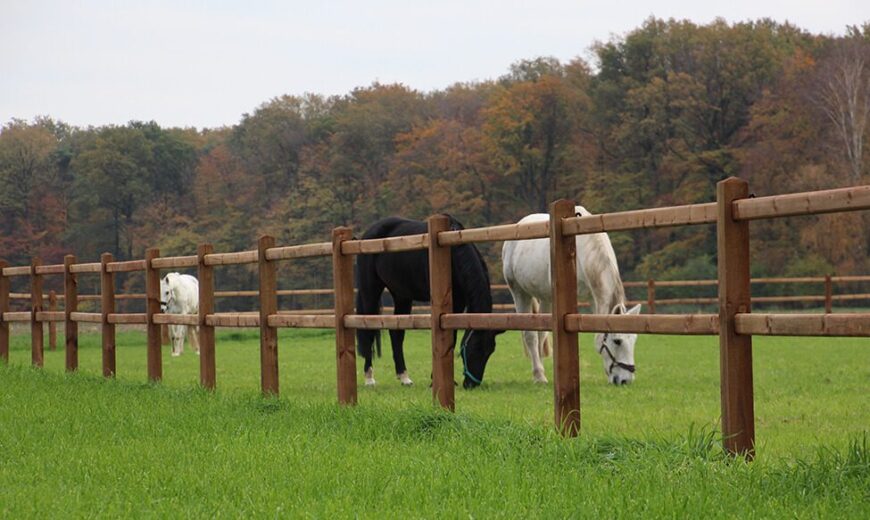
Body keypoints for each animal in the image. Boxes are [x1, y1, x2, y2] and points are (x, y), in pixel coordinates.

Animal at [356, 213, 504, 388]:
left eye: (489, 351)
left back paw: (404, 377)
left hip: (402, 295)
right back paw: (369, 378)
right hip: (370, 291)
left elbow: (452, 337)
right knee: (368, 329)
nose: (470, 384)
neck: (451, 254)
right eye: (474, 347)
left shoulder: (459, 302)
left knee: (396, 333)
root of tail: (367, 234)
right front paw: (436, 380)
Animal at [504, 205, 640, 384]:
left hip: (546, 298)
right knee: (530, 336)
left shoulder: (593, 297)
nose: (626, 380)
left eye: (634, 340)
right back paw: (538, 375)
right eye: (617, 341)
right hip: (519, 293)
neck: (582, 252)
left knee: (542, 333)